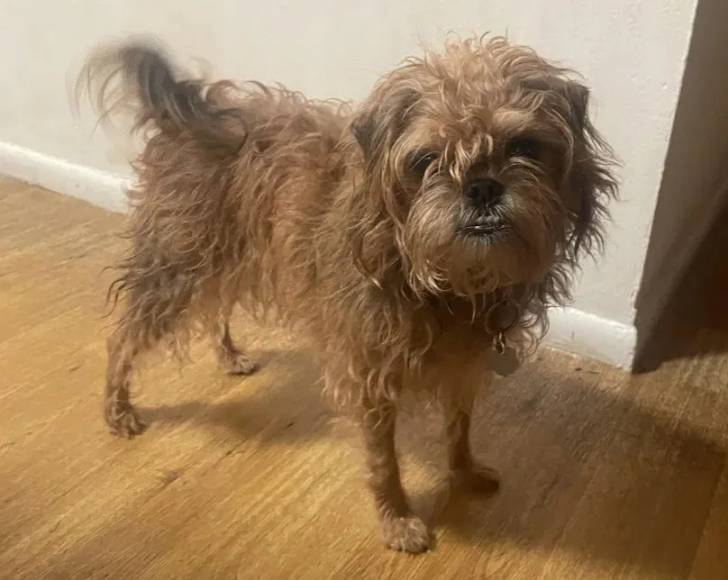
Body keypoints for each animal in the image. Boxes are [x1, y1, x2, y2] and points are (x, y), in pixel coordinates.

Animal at [80, 35, 616, 553]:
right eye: (426, 161)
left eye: (524, 146)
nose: (481, 186)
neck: (444, 281)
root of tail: (192, 113)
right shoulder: (370, 372)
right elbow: (384, 462)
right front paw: (397, 520)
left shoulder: (462, 365)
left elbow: (459, 429)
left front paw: (463, 473)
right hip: (176, 268)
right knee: (121, 337)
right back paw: (117, 410)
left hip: (231, 257)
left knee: (218, 307)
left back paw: (229, 356)